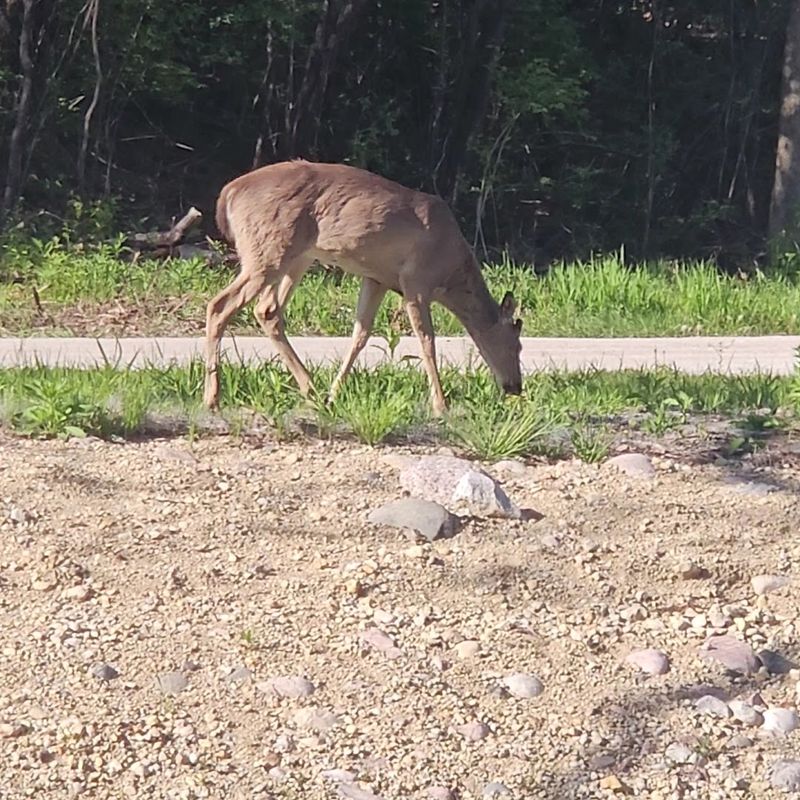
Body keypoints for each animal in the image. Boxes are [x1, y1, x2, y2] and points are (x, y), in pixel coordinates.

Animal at [204, 159, 523, 415]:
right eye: (516, 345)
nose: (515, 387)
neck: (451, 274)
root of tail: (229, 192)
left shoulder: (378, 278)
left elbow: (361, 334)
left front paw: (334, 394)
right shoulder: (416, 281)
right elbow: (427, 341)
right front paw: (440, 405)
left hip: (295, 256)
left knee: (267, 310)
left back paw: (312, 391)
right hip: (268, 250)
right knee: (220, 305)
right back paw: (213, 398)